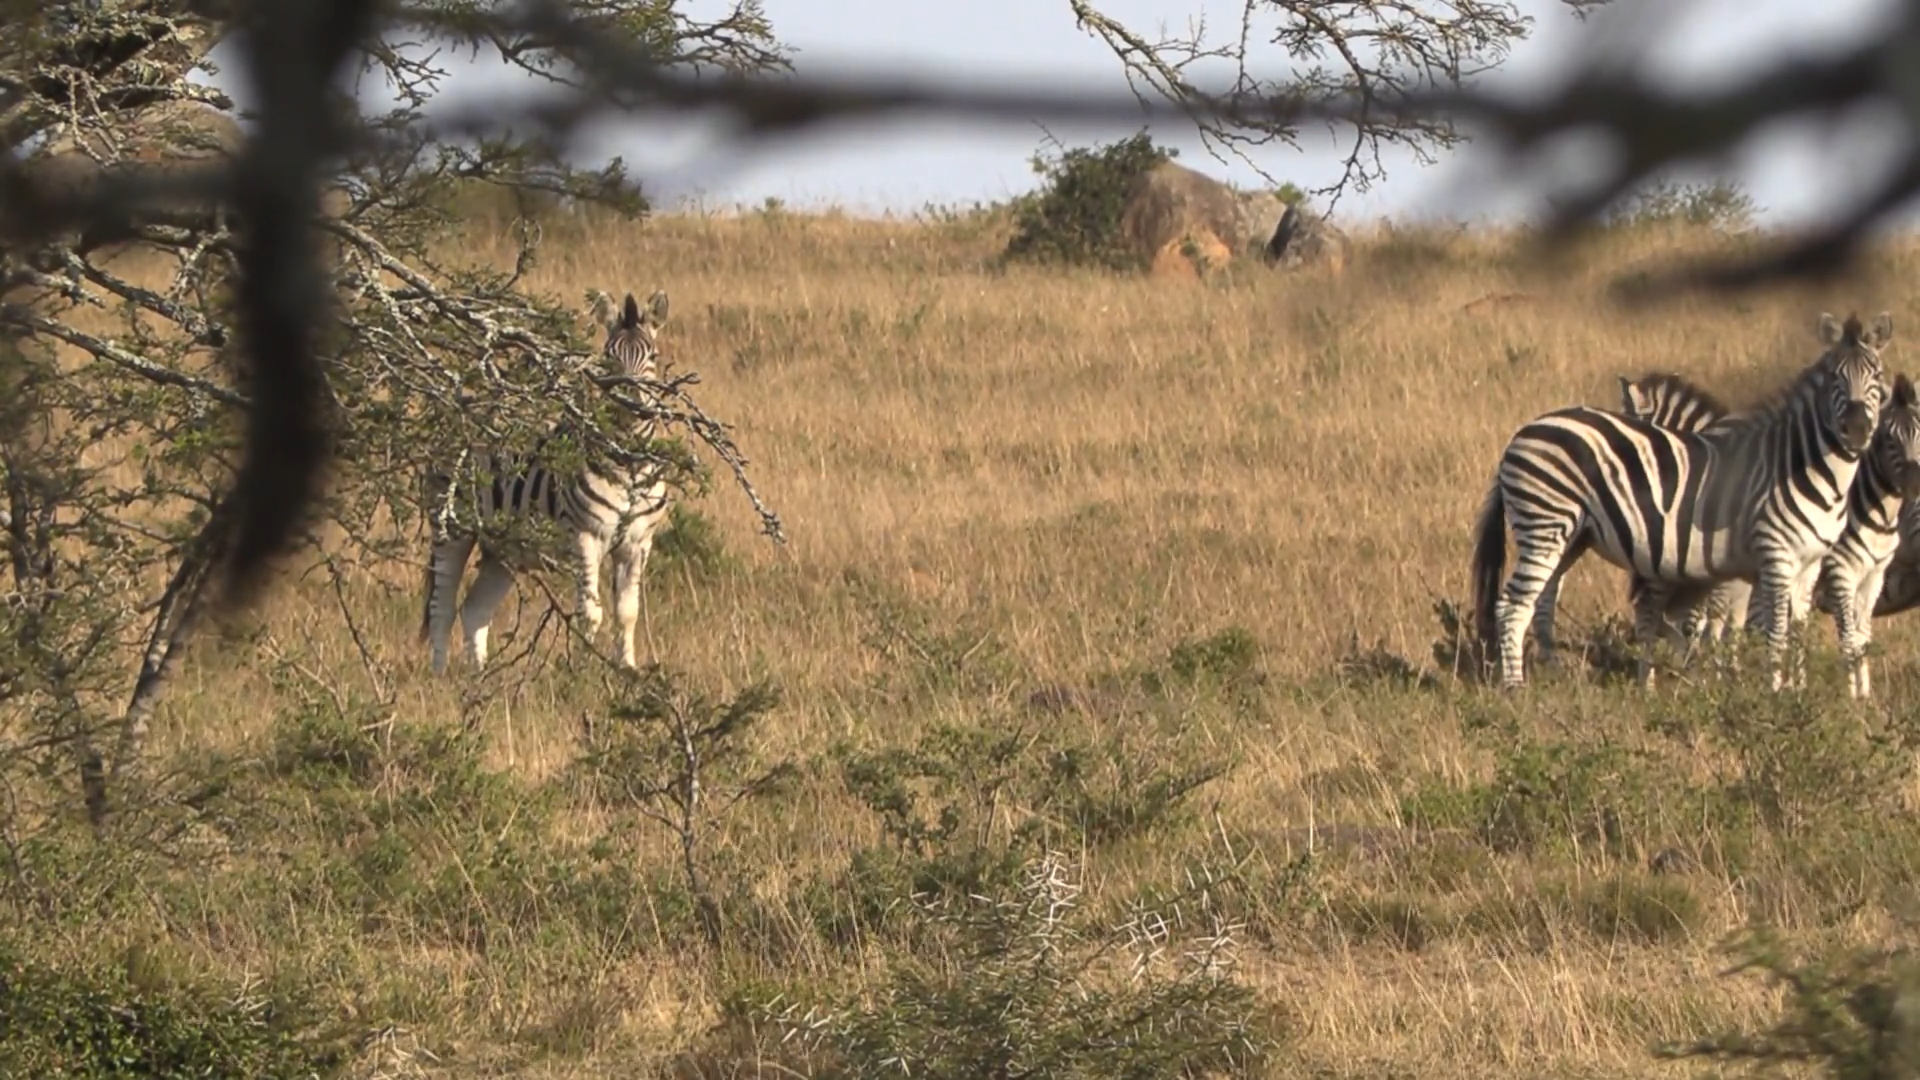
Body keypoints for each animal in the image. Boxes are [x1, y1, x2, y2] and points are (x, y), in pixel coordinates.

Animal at [420, 288, 675, 674]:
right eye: (608, 357)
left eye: (653, 357)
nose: (631, 405)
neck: (628, 465)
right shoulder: (584, 536)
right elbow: (591, 614)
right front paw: (583, 673)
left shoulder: (637, 543)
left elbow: (627, 613)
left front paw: (627, 671)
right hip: (452, 528)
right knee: (442, 608)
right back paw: (438, 677)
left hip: (504, 546)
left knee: (474, 609)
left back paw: (479, 676)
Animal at [1470, 311, 1892, 691]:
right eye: (1835, 378)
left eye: (1878, 378)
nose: (1857, 430)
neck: (1806, 466)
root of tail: (1522, 432)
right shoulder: (1772, 557)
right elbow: (1768, 632)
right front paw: (1772, 695)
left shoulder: (1809, 564)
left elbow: (1796, 633)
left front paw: (1797, 693)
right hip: (1544, 524)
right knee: (1512, 606)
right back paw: (1516, 690)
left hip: (1571, 536)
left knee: (1543, 599)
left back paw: (1553, 677)